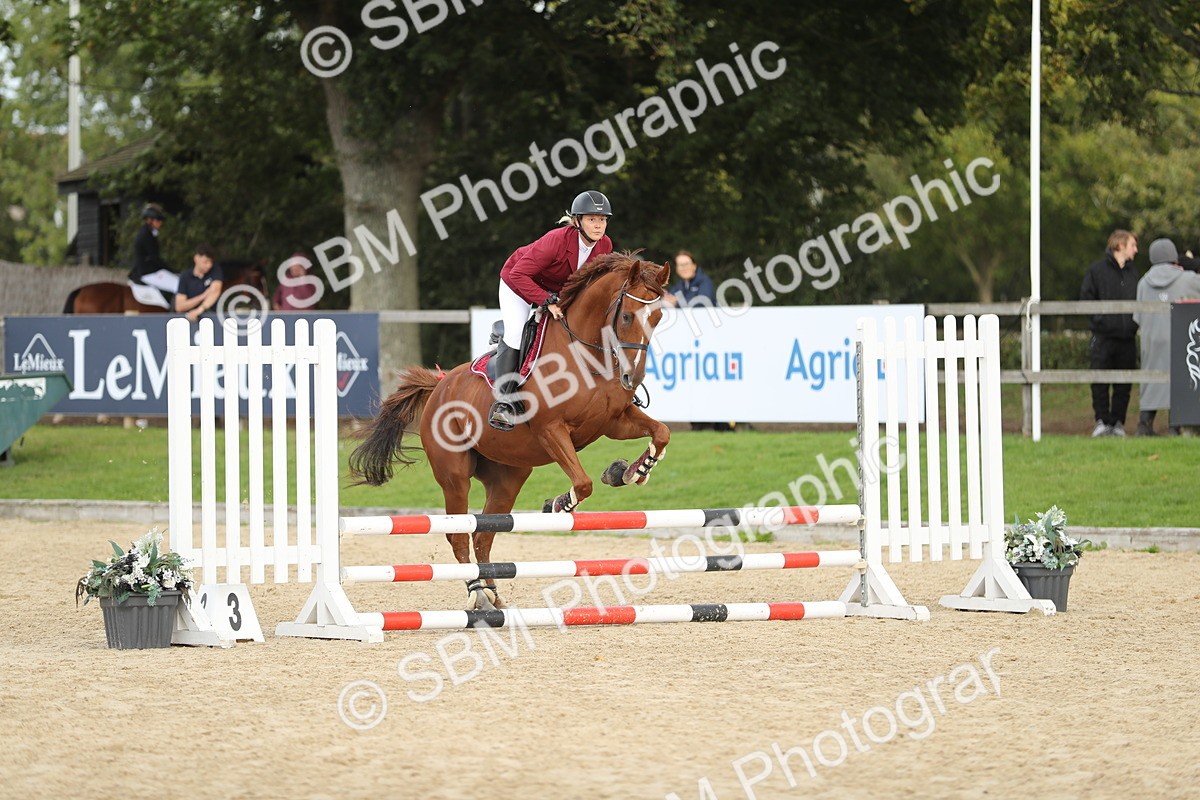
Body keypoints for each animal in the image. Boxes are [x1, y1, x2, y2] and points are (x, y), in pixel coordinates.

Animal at [349, 251, 673, 610]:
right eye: (627, 316)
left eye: (658, 317)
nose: (634, 378)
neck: (586, 355)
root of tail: (440, 385)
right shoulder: (551, 429)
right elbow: (583, 483)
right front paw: (558, 505)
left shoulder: (613, 421)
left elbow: (661, 433)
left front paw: (628, 471)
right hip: (454, 476)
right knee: (459, 534)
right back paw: (478, 594)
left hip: (508, 477)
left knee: (483, 534)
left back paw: (493, 593)